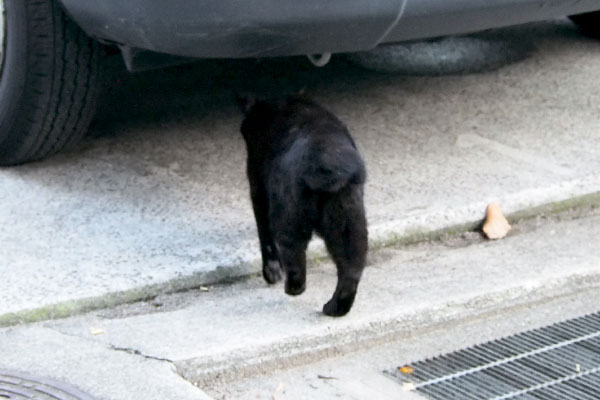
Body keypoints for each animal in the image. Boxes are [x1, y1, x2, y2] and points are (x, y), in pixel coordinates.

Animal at [238, 95, 368, 318]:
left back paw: (294, 288)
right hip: (347, 217)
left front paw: (271, 271)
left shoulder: (257, 185)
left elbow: (264, 232)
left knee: (293, 251)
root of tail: (326, 162)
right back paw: (335, 308)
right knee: (351, 267)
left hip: (288, 212)